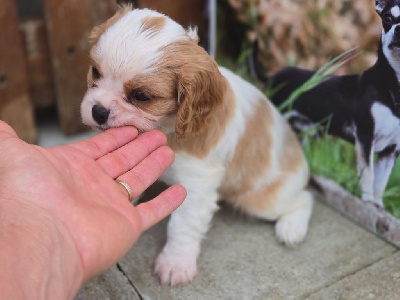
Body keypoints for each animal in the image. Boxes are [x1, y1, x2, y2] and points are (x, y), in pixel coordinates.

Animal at [81, 5, 312, 286]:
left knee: (304, 198)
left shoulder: (197, 185)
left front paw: (175, 263)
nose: (98, 111)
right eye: (96, 73)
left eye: (141, 96)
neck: (166, 128)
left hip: (260, 199)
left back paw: (292, 228)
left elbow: (182, 226)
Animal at [253, 0, 400, 206]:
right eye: (387, 18)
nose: (399, 28)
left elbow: (381, 182)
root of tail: (272, 78)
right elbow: (368, 175)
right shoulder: (365, 138)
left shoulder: (391, 151)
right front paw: (367, 201)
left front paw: (377, 205)